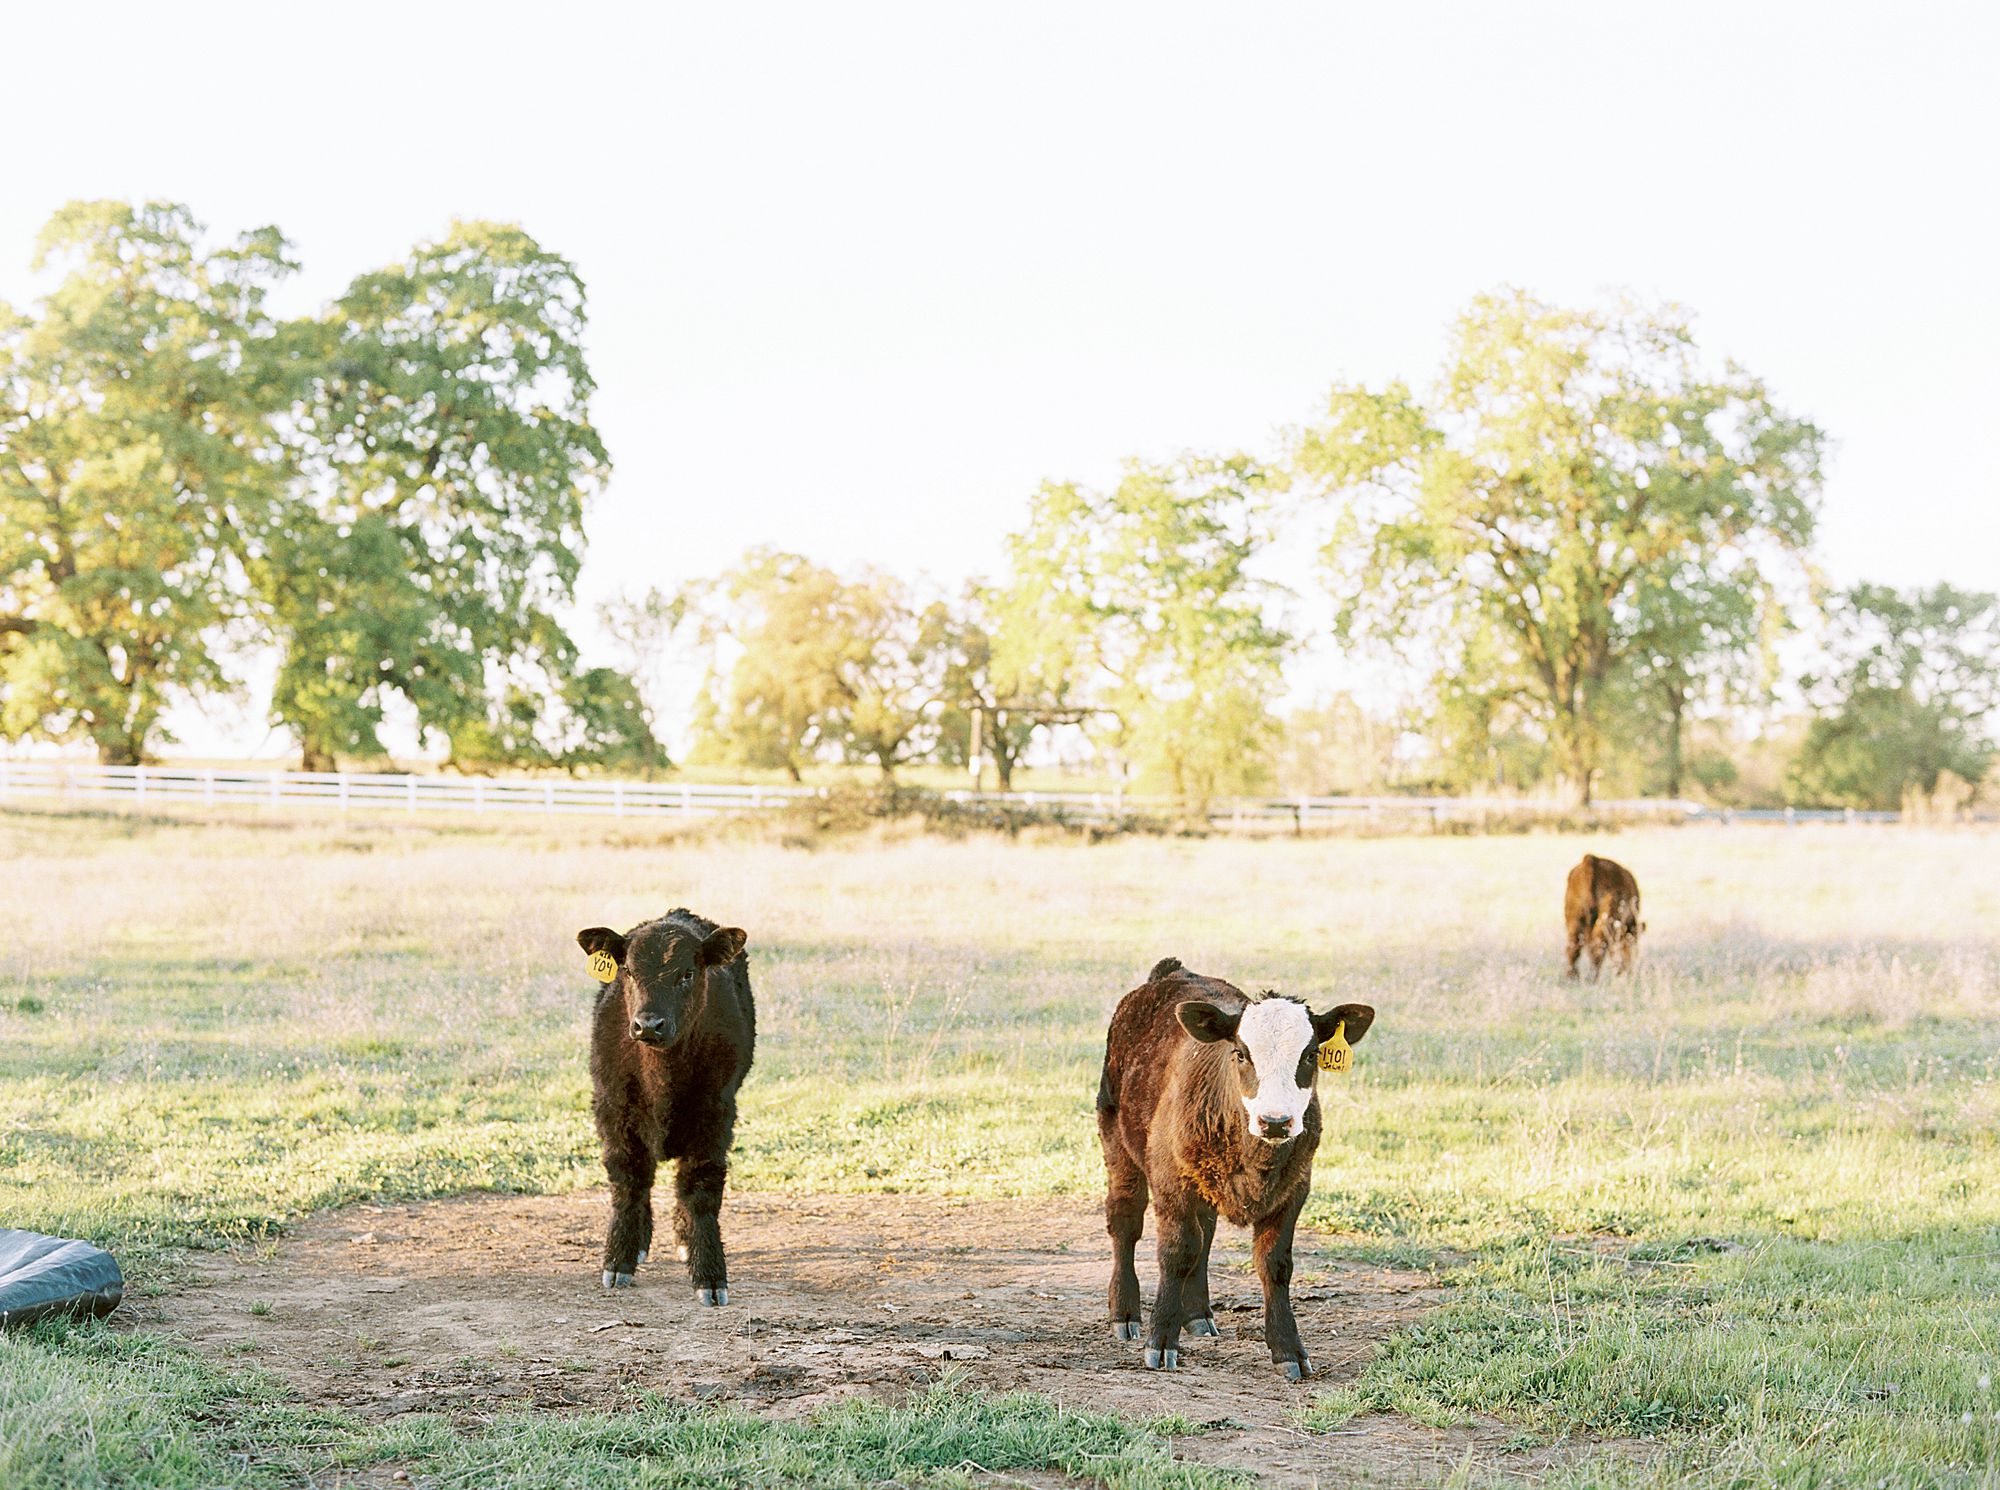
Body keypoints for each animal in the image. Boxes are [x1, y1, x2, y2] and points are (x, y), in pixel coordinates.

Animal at [1096, 960, 1376, 1376]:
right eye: (1242, 1054)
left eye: (1311, 1055)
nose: (1275, 1122)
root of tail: (1172, 972)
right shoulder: (1170, 1179)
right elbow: (1176, 1252)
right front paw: (1161, 1339)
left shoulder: (1296, 1185)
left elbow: (1274, 1263)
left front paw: (1288, 1348)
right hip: (1117, 1138)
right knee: (1126, 1221)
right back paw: (1125, 1314)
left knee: (1206, 1233)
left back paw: (1197, 1314)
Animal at [1560, 848, 1640, 976]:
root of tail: (1591, 860)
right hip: (1605, 919)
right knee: (1597, 949)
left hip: (1575, 918)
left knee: (1573, 948)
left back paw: (1573, 976)